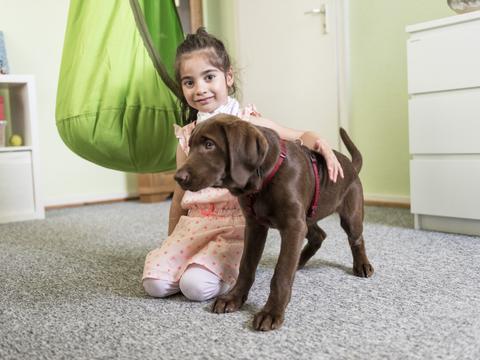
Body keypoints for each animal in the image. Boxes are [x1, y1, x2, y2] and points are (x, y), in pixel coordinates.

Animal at [174, 114, 374, 330]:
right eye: (190, 146)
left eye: (209, 144)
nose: (177, 177)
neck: (265, 178)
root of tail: (350, 165)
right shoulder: (256, 226)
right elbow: (246, 266)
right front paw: (233, 298)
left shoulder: (293, 226)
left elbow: (282, 271)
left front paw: (271, 312)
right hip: (307, 216)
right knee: (319, 235)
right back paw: (300, 260)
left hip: (348, 214)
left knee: (356, 239)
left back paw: (362, 265)